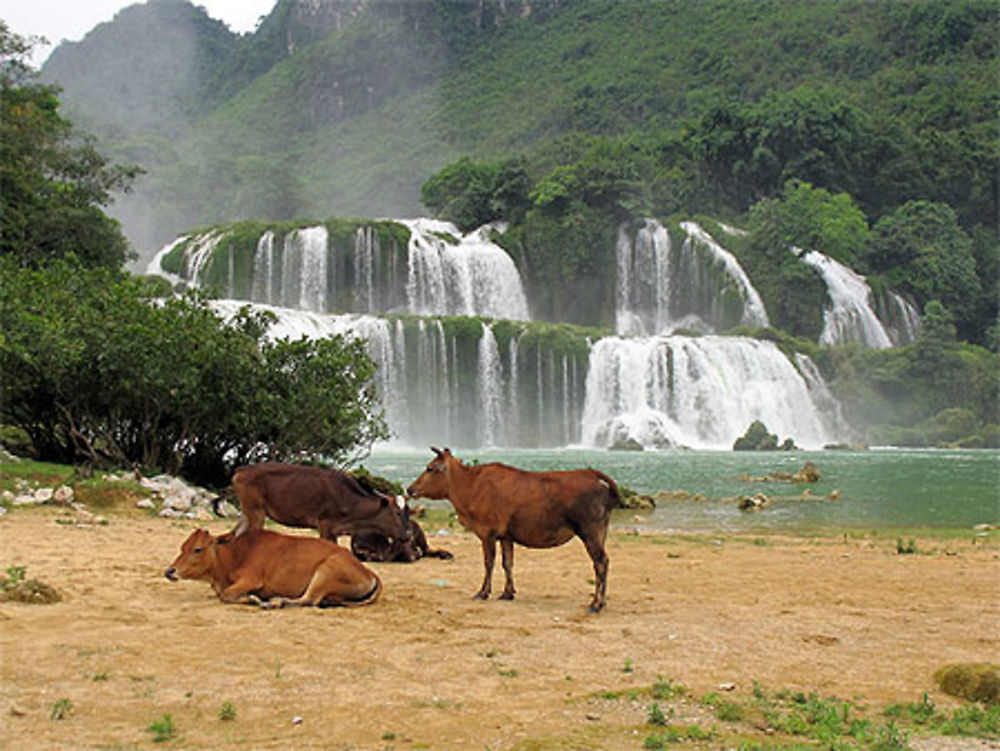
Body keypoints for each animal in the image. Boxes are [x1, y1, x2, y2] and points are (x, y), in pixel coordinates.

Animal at [164, 524, 382, 608]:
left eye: (197, 549)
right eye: (183, 546)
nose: (169, 571)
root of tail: (369, 571)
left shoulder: (252, 579)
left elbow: (226, 595)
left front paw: (252, 599)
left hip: (325, 571)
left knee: (309, 600)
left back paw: (276, 602)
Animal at [230, 462, 410, 544]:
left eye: (408, 512)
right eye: (397, 512)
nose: (408, 535)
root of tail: (241, 470)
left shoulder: (334, 531)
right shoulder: (324, 525)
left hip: (246, 512)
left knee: (236, 534)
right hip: (256, 512)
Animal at [406, 446, 616, 612]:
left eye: (430, 468)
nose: (410, 489)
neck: (468, 487)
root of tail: (596, 476)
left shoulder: (487, 532)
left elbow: (489, 563)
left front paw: (483, 592)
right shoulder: (506, 535)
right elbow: (507, 563)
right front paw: (508, 592)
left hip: (589, 530)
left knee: (601, 562)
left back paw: (596, 604)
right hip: (601, 530)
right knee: (604, 561)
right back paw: (602, 602)